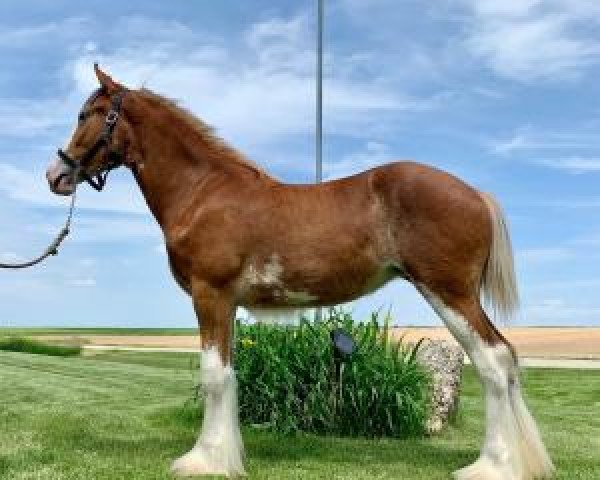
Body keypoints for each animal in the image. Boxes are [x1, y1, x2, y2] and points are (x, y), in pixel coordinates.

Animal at [44, 64, 556, 480]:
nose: (55, 175)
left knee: (493, 361)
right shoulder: (227, 303)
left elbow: (214, 376)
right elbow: (228, 375)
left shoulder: (211, 295)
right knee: (503, 360)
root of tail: (476, 193)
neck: (203, 192)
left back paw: (493, 465)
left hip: (450, 292)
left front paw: (204, 461)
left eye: (88, 114)